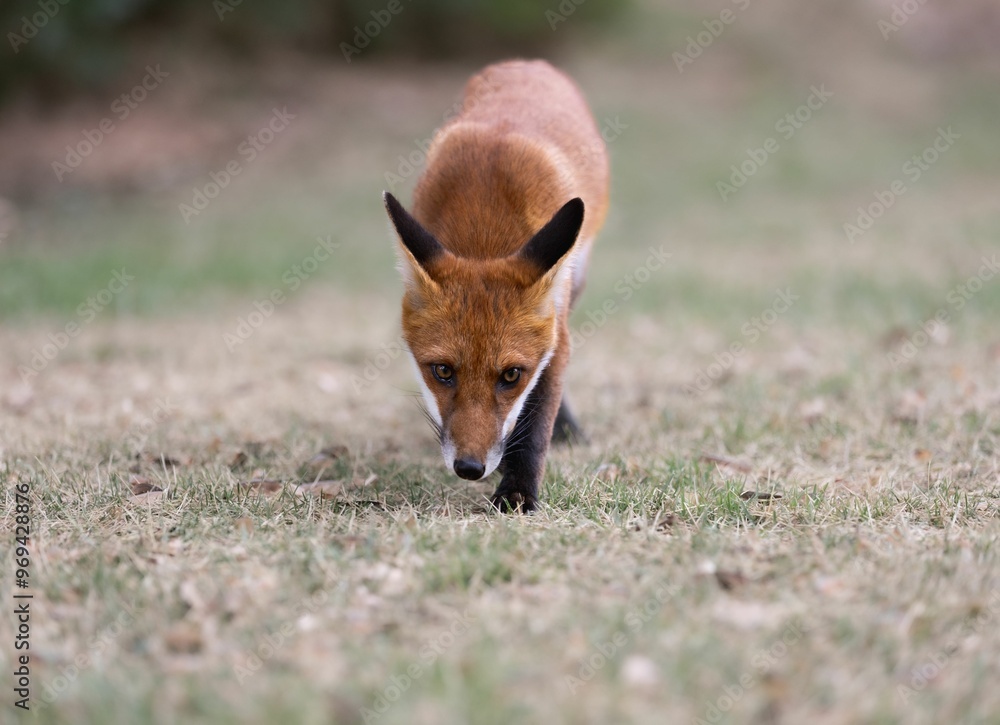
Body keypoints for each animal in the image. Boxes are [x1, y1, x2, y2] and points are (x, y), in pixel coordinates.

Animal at [383, 59, 609, 513]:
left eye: (511, 375)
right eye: (442, 371)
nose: (470, 468)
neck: (484, 230)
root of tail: (526, 63)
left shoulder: (555, 334)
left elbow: (536, 425)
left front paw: (518, 493)